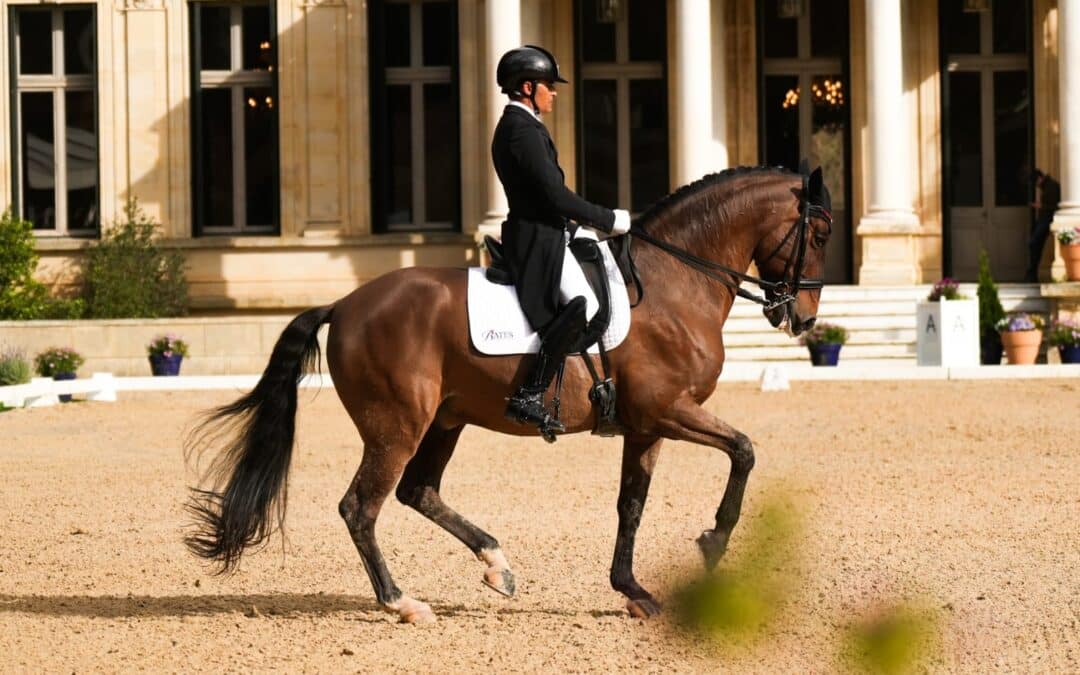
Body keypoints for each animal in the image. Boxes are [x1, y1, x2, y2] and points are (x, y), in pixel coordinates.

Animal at [185, 163, 829, 622]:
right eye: (820, 231)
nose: (802, 320)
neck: (674, 282)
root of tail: (343, 303)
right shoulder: (668, 410)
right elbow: (744, 450)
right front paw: (713, 542)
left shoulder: (646, 424)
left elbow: (632, 504)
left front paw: (633, 590)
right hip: (397, 426)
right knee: (361, 507)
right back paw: (403, 602)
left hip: (445, 420)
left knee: (417, 492)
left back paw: (497, 566)